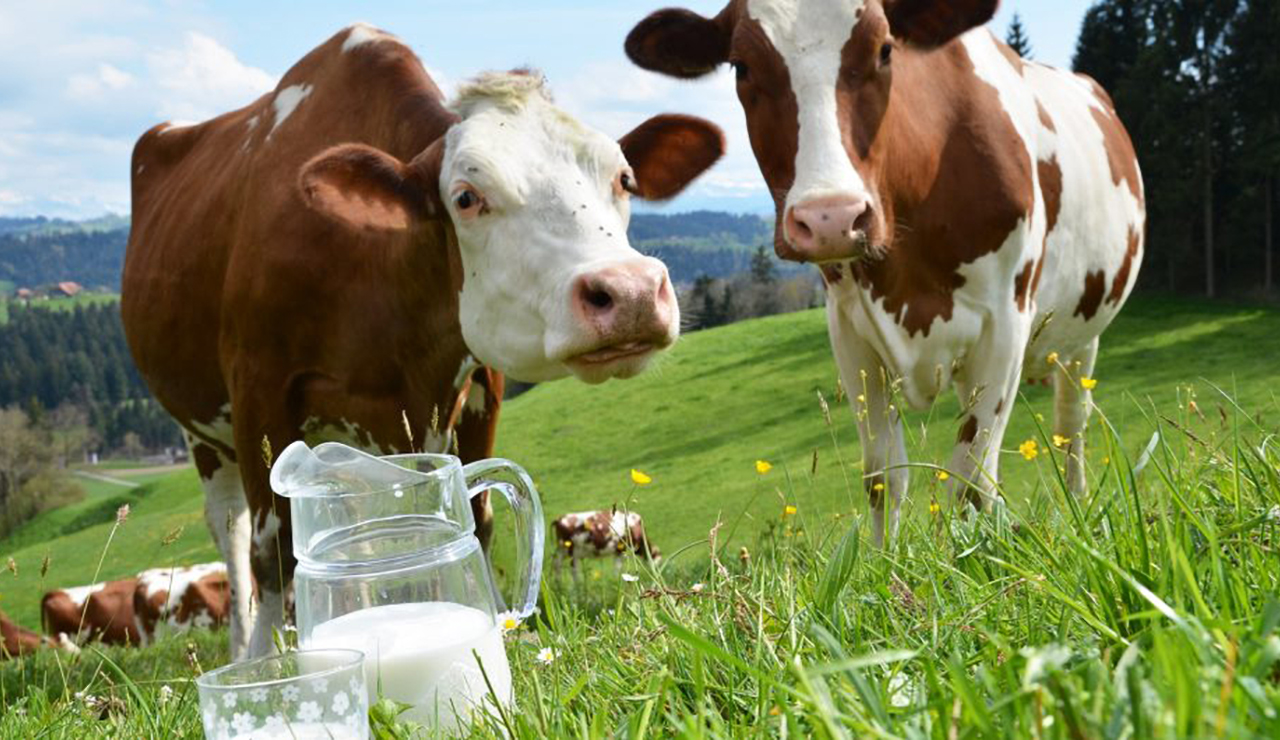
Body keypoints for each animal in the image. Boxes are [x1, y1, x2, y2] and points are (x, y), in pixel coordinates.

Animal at [122, 24, 724, 659]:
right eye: (466, 197)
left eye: (624, 179)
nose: (631, 291)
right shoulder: (258, 386)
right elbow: (272, 555)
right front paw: (268, 662)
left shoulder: (480, 383)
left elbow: (477, 516)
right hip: (203, 435)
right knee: (232, 534)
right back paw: (244, 645)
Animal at [626, 0, 1145, 545]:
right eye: (741, 66)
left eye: (884, 50)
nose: (830, 217)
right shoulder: (849, 330)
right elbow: (883, 475)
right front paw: (884, 557)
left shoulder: (1007, 319)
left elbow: (971, 477)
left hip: (1083, 336)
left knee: (1073, 424)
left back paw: (1078, 500)